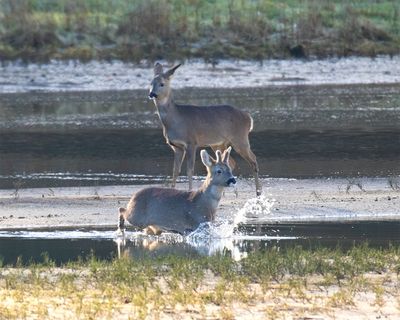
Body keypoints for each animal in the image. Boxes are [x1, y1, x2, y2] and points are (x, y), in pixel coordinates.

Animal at [148, 62, 262, 195]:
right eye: (151, 83)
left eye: (162, 84)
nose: (152, 94)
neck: (175, 119)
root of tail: (249, 118)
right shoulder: (176, 146)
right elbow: (175, 170)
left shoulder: (191, 142)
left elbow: (190, 169)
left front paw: (190, 190)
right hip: (218, 143)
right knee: (230, 161)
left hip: (240, 138)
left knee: (253, 160)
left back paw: (258, 192)